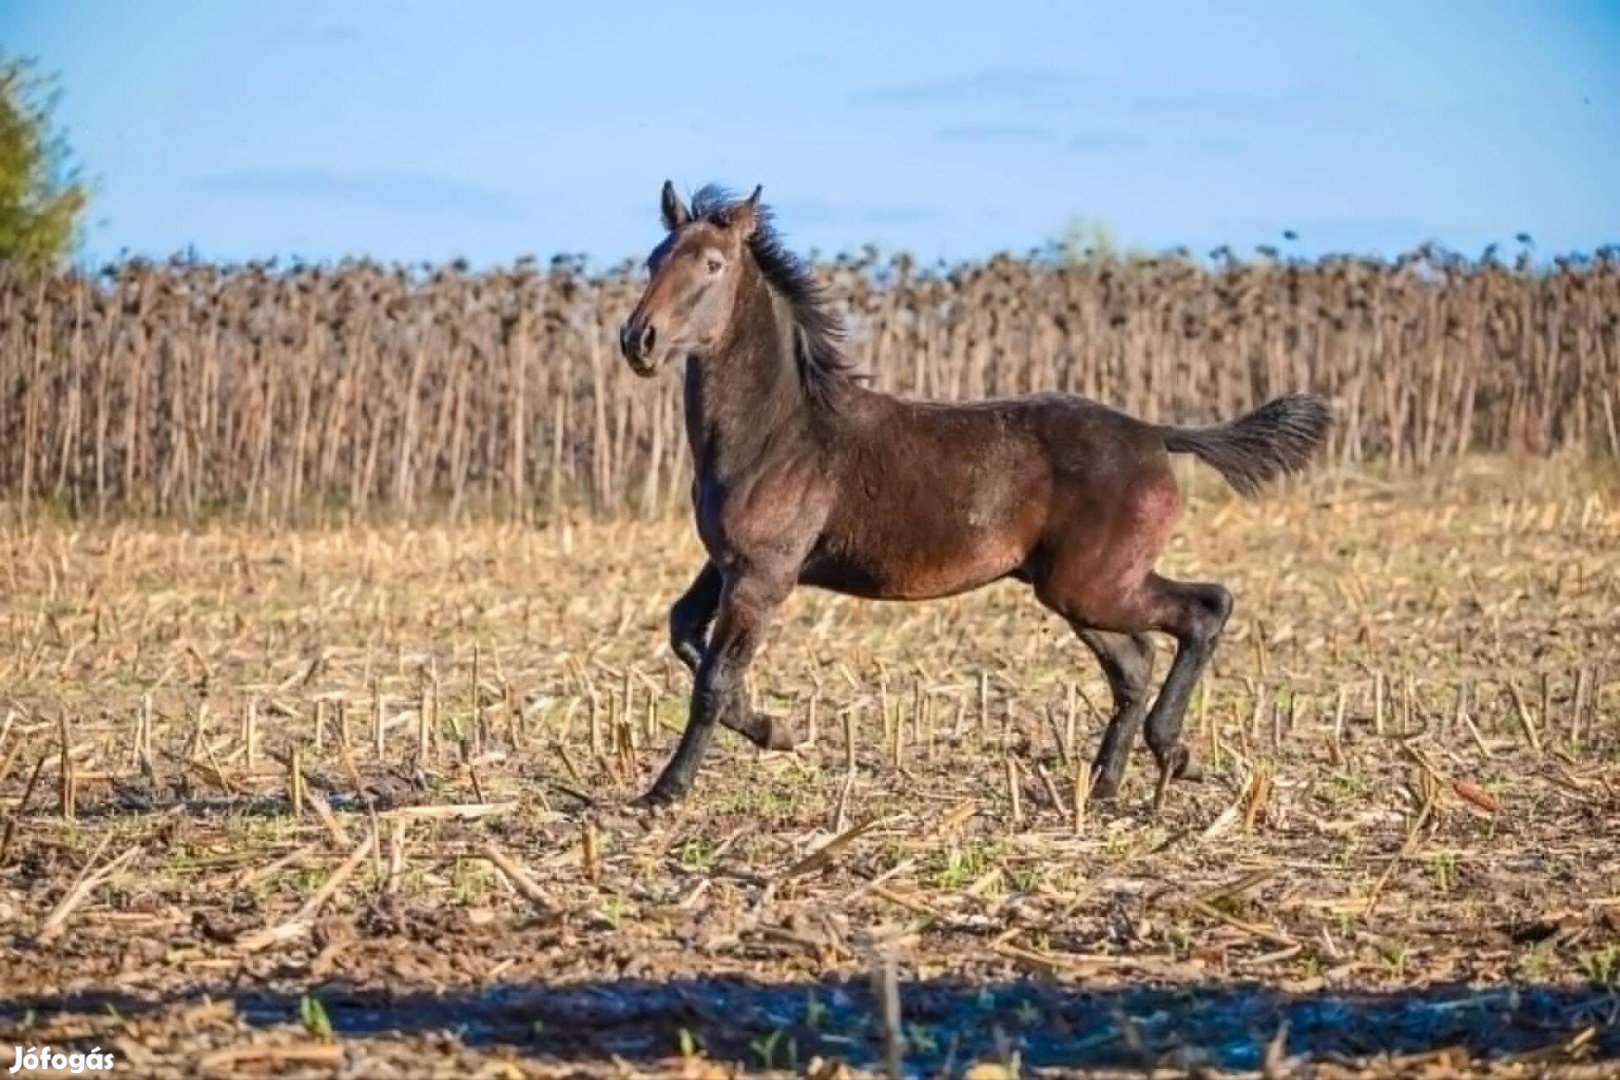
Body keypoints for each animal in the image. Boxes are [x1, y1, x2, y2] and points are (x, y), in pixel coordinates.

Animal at [618, 186, 1328, 806]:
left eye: (711, 264)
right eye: (653, 258)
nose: (638, 340)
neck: (778, 431)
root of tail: (1156, 434)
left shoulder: (764, 573)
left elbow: (714, 678)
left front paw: (665, 791)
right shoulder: (727, 564)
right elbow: (685, 634)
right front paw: (775, 730)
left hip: (1095, 585)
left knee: (1206, 609)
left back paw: (1171, 753)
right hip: (1077, 589)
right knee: (1134, 662)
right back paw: (1103, 784)